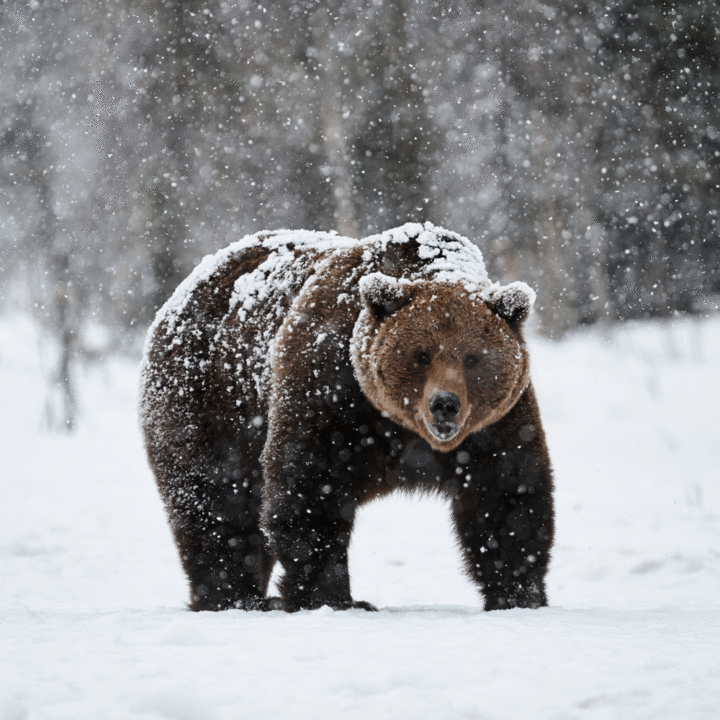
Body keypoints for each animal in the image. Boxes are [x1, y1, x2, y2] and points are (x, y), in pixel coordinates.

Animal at [142, 222, 556, 612]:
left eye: (472, 358)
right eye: (421, 354)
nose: (444, 403)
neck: (402, 427)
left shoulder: (495, 425)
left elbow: (508, 496)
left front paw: (518, 595)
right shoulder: (330, 392)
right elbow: (310, 489)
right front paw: (334, 598)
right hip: (209, 401)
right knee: (217, 504)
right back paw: (236, 597)